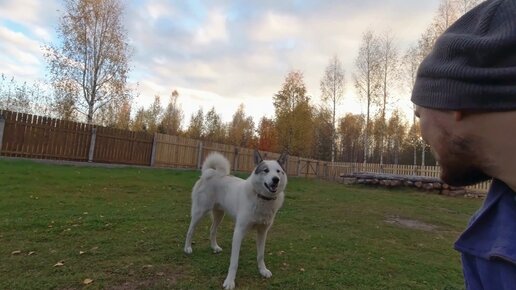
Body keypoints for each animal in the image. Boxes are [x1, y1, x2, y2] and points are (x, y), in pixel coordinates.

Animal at [184, 151, 290, 288]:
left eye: (278, 171)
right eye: (266, 170)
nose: (275, 179)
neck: (261, 198)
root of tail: (210, 173)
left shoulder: (262, 232)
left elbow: (260, 255)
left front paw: (263, 270)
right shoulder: (239, 232)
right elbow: (234, 262)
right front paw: (229, 281)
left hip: (219, 215)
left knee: (212, 230)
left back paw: (214, 247)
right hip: (199, 212)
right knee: (190, 231)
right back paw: (187, 248)